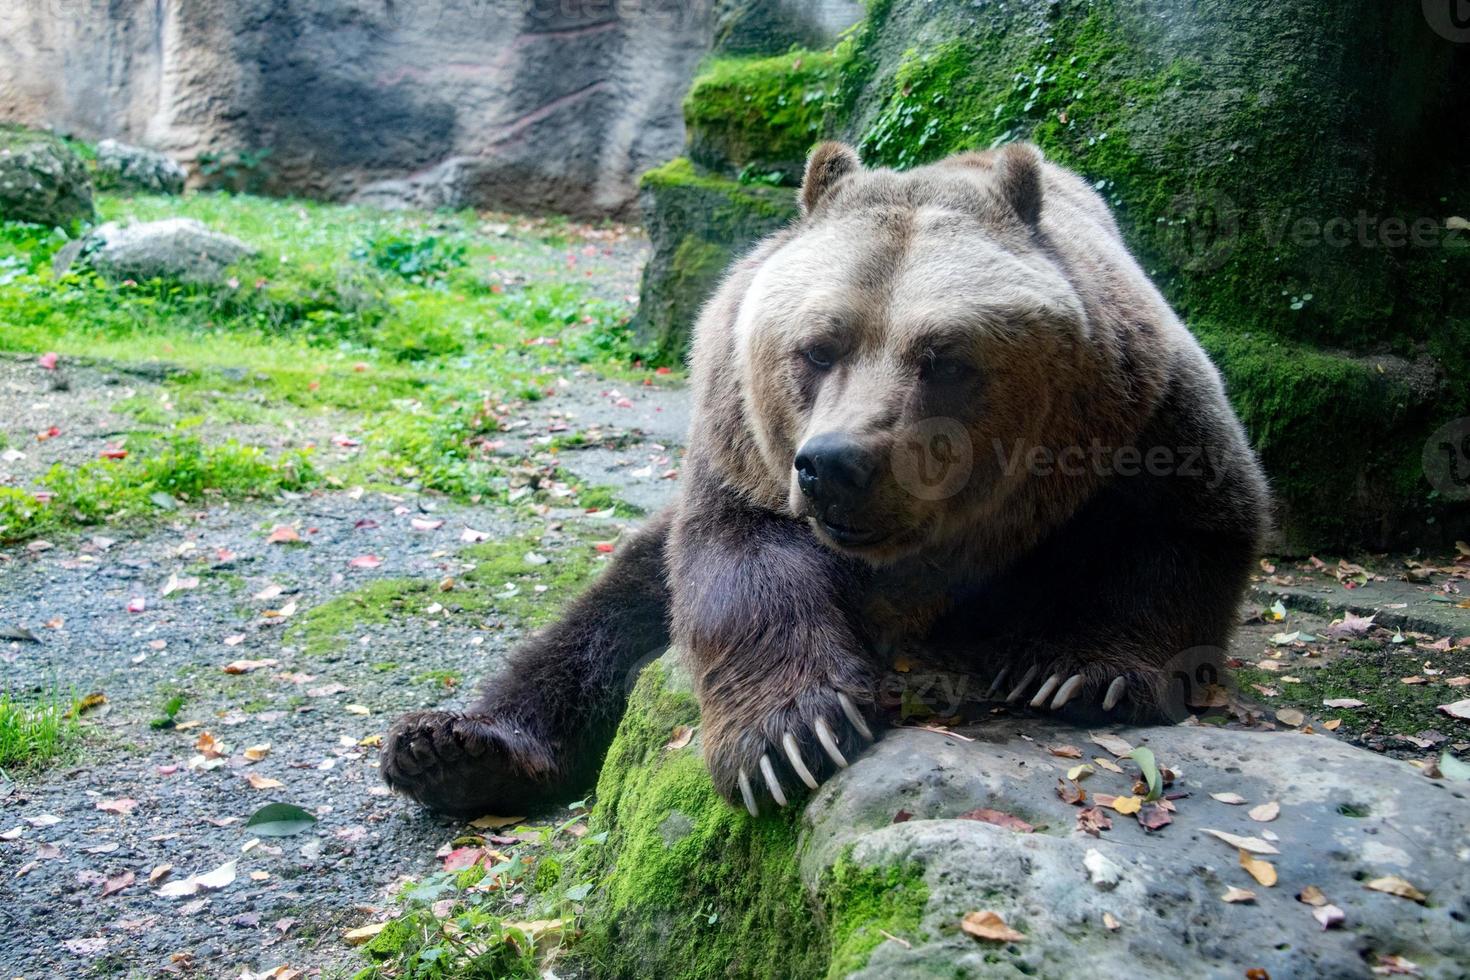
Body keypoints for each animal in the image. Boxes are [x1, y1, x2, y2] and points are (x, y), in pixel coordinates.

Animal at [385, 141, 1270, 822]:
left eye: (943, 357)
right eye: (817, 347)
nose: (836, 464)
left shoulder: (1136, 415)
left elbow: (1187, 526)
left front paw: (1081, 673)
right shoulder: (743, 450)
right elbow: (738, 568)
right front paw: (790, 740)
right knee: (607, 614)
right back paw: (452, 748)